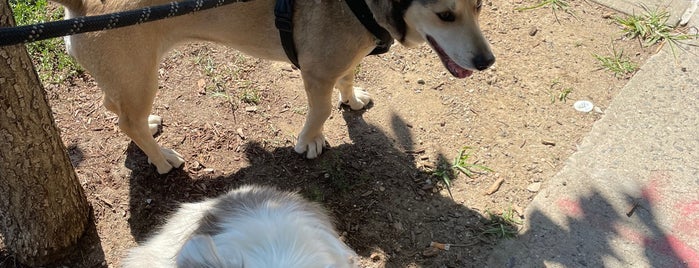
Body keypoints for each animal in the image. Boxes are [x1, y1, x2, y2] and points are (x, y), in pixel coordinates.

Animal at [52, 0, 494, 173]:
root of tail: (79, 7)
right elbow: (321, 111)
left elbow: (350, 77)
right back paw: (161, 158)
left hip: (131, 79)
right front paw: (311, 140)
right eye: (445, 15)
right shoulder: (316, 73)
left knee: (118, 109)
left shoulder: (346, 58)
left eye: (479, 6)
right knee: (127, 121)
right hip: (142, 78)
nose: (487, 61)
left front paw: (352, 99)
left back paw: (150, 130)